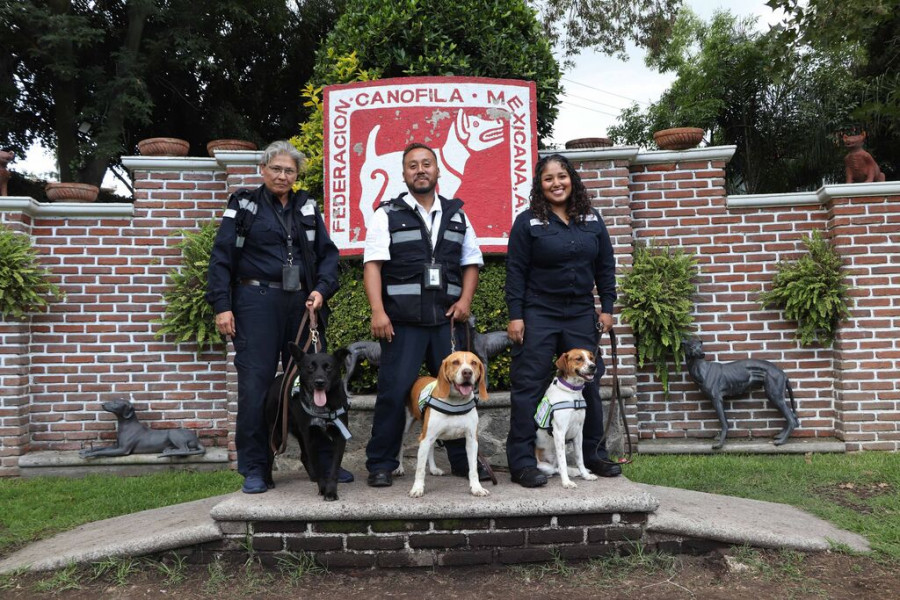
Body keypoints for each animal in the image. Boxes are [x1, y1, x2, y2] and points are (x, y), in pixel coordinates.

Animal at [266, 342, 350, 502]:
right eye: (310, 367)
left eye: (329, 367)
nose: (319, 382)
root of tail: (278, 379)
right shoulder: (310, 437)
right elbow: (318, 466)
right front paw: (323, 488)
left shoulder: (339, 436)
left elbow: (334, 468)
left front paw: (330, 491)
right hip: (278, 431)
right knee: (269, 453)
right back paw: (267, 481)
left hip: (299, 432)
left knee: (304, 456)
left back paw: (312, 476)